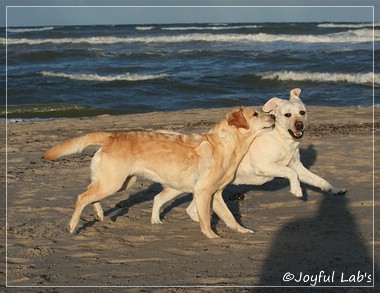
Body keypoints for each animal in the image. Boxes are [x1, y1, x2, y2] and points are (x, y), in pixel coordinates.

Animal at [43, 107, 274, 237]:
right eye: (256, 114)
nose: (272, 115)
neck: (226, 145)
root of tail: (112, 136)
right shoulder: (204, 192)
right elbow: (207, 218)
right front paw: (211, 236)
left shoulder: (216, 194)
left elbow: (230, 217)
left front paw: (242, 230)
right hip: (114, 182)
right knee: (82, 197)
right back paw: (73, 225)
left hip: (122, 182)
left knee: (93, 194)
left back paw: (102, 214)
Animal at [152, 88, 348, 222]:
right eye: (287, 115)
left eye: (302, 112)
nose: (299, 125)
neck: (282, 139)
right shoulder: (266, 166)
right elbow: (291, 174)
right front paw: (297, 190)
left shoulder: (297, 166)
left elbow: (319, 180)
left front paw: (335, 189)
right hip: (180, 187)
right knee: (159, 198)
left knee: (189, 208)